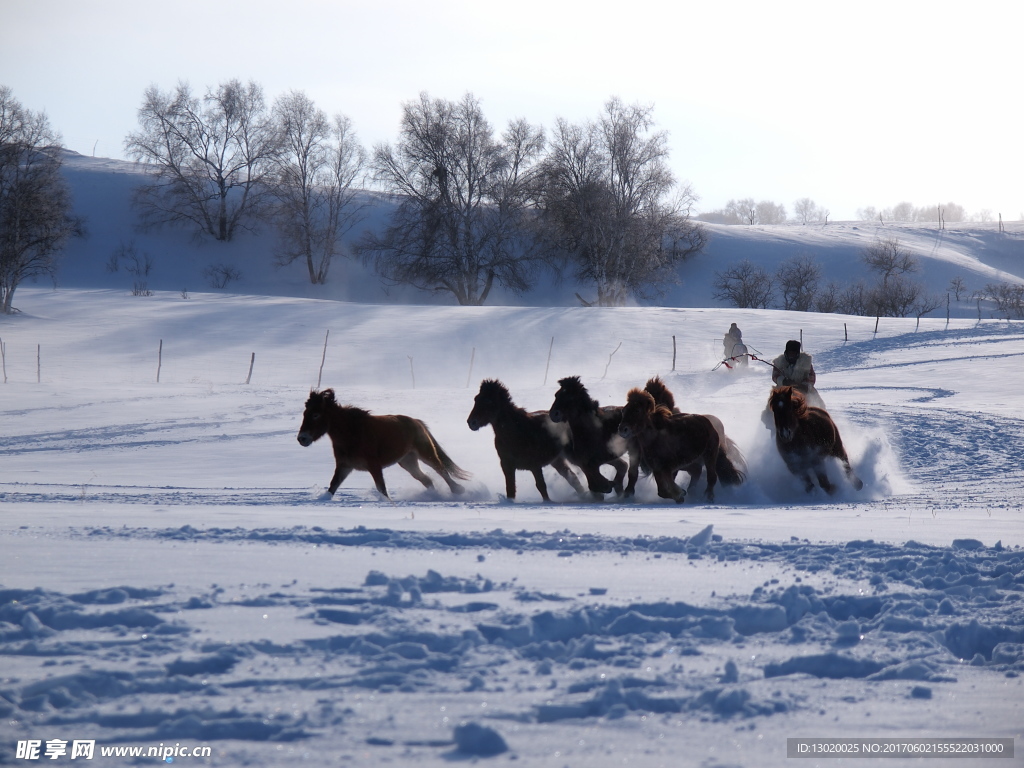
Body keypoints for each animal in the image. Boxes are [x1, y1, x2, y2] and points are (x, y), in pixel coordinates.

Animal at [296, 391, 471, 499]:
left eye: (315, 414)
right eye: (305, 413)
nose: (302, 438)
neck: (351, 433)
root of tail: (417, 422)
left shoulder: (374, 465)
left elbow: (382, 488)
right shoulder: (344, 466)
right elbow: (333, 486)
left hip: (425, 453)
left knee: (441, 470)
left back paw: (458, 490)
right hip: (408, 461)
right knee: (426, 480)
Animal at [610, 391, 741, 505]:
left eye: (637, 410)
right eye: (624, 410)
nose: (622, 429)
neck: (655, 438)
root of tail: (708, 422)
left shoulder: (668, 467)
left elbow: (668, 485)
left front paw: (680, 493)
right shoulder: (657, 468)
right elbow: (662, 491)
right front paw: (680, 495)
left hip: (709, 455)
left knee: (712, 477)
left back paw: (708, 497)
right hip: (691, 462)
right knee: (697, 472)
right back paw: (693, 493)